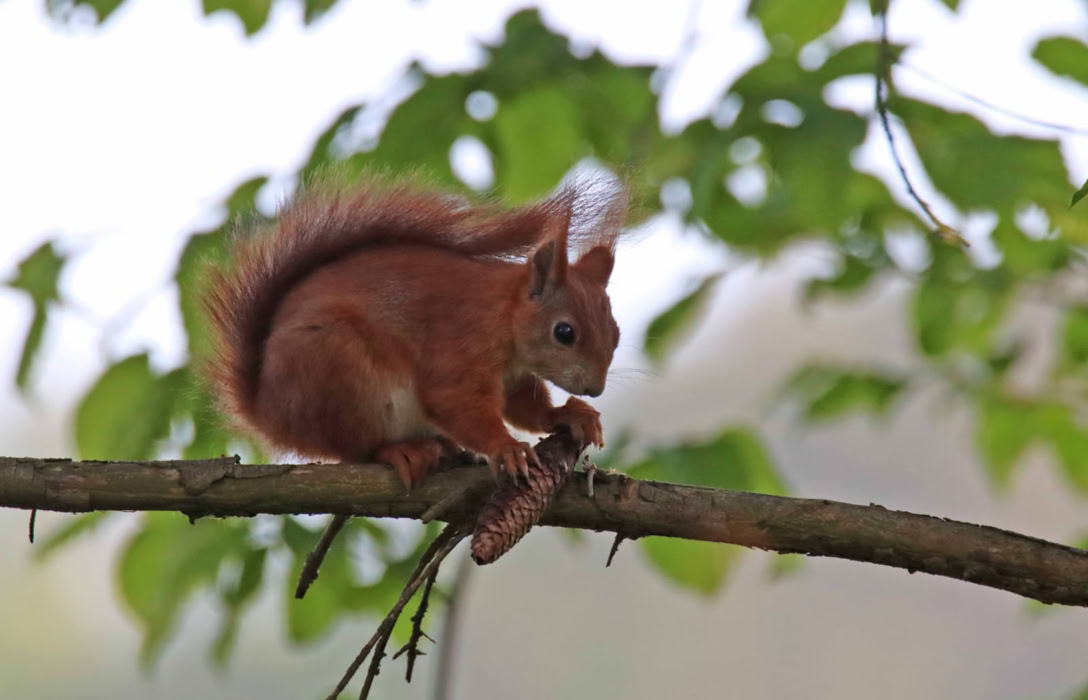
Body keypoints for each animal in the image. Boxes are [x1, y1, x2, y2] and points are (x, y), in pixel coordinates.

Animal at [202, 177, 626, 488]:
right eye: (564, 332)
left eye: (616, 333)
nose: (595, 388)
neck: (504, 316)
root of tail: (268, 411)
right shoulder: (459, 347)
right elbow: (454, 402)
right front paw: (506, 447)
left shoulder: (517, 378)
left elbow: (527, 408)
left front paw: (570, 414)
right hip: (339, 371)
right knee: (356, 448)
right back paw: (402, 451)